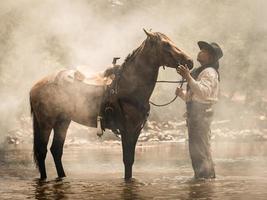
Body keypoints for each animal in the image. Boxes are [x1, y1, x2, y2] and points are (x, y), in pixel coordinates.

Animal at [29, 29, 194, 180]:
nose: (190, 61)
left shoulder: (136, 130)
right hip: (46, 123)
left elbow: (130, 160)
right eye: (166, 44)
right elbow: (127, 161)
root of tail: (36, 85)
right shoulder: (127, 130)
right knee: (42, 151)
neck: (128, 87)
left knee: (56, 150)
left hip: (63, 122)